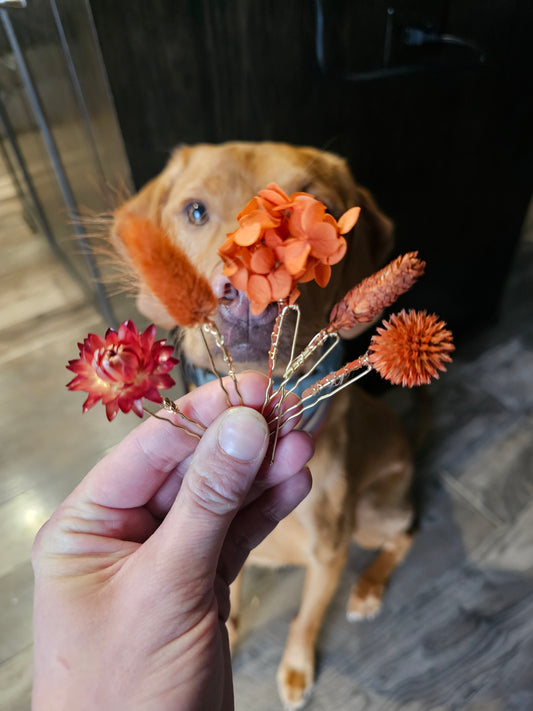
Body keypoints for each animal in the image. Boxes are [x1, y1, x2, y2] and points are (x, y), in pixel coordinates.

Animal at [110, 142, 414, 708]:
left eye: (319, 209)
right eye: (196, 211)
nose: (252, 297)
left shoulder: (328, 554)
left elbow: (305, 621)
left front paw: (295, 667)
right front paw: (226, 637)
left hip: (369, 516)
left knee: (404, 536)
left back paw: (367, 589)